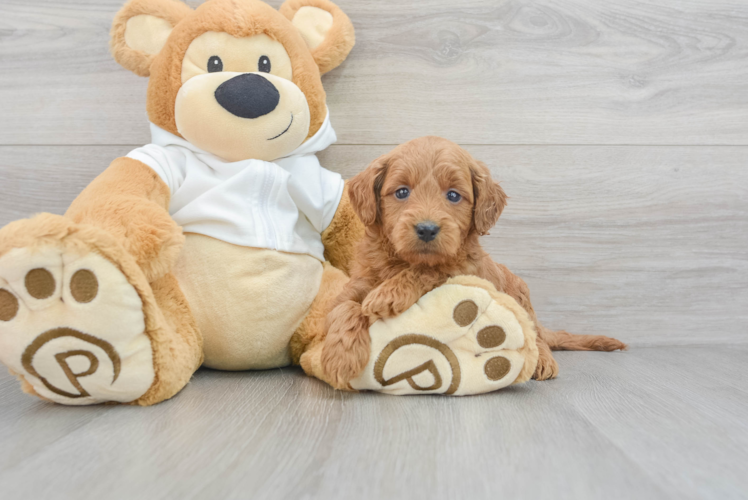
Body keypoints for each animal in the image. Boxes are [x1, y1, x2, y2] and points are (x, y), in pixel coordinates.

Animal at [322, 137, 624, 390]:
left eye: (454, 195)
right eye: (402, 192)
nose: (427, 229)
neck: (401, 262)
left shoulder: (462, 270)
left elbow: (430, 270)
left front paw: (388, 293)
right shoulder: (355, 286)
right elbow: (343, 308)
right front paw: (339, 356)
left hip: (520, 295)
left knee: (535, 336)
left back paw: (542, 360)